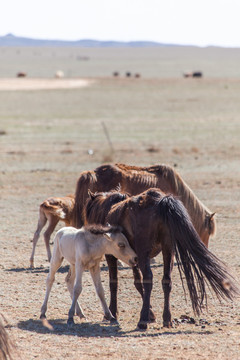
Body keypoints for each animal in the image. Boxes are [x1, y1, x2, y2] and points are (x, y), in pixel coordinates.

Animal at [84, 188, 238, 330]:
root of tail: (160, 201)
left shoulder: (113, 256)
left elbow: (115, 283)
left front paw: (112, 314)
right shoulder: (133, 258)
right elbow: (137, 281)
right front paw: (151, 314)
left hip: (145, 252)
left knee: (148, 279)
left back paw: (142, 321)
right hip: (167, 249)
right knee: (166, 280)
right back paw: (167, 319)